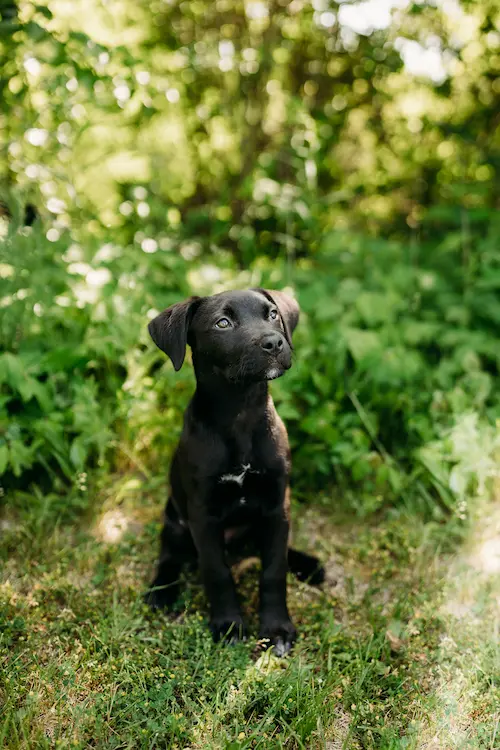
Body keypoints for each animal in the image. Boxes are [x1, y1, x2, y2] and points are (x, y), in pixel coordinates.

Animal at [146, 290, 324, 656]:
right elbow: (217, 572)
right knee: (169, 554)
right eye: (223, 323)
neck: (240, 413)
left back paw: (309, 565)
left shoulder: (277, 504)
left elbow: (274, 569)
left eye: (272, 315)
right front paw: (228, 625)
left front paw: (276, 628)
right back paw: (162, 591)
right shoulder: (203, 515)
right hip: (175, 518)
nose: (274, 342)